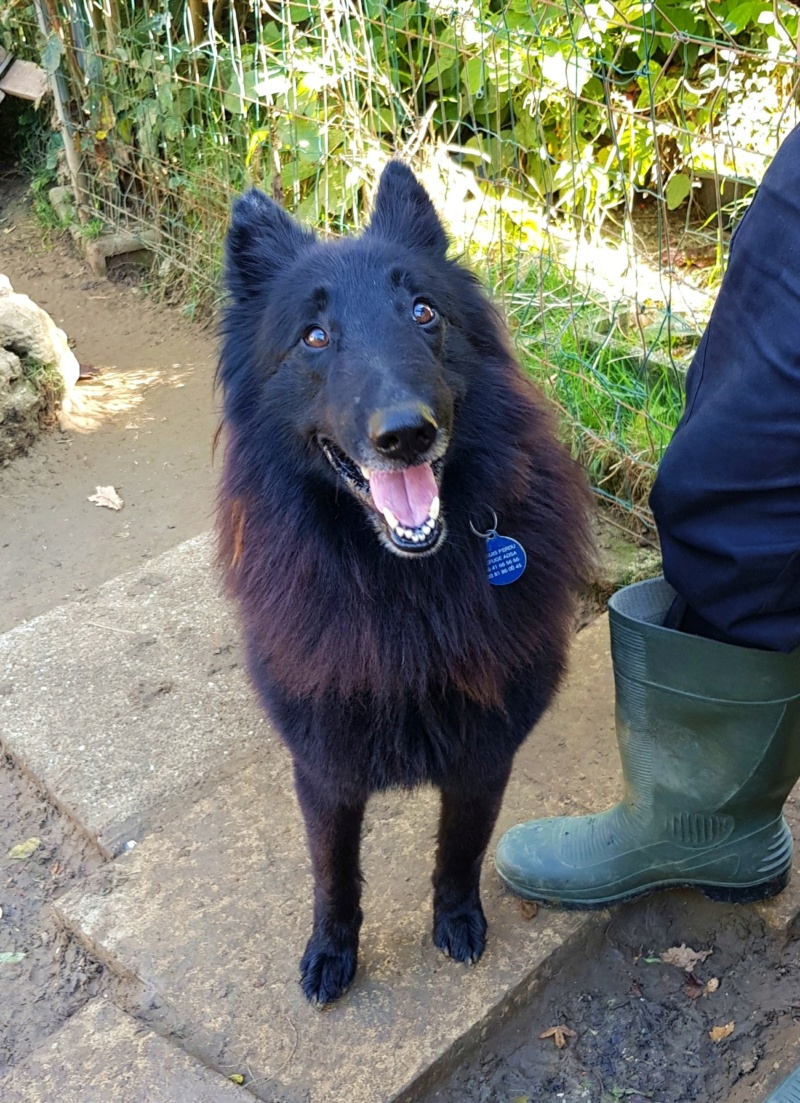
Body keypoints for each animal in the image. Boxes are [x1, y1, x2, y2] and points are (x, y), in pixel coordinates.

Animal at [218, 165, 591, 1010]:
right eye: (314, 336)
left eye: (423, 312)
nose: (406, 434)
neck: (403, 591)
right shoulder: (323, 766)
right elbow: (333, 873)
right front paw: (332, 950)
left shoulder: (485, 752)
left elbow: (460, 848)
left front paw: (456, 920)